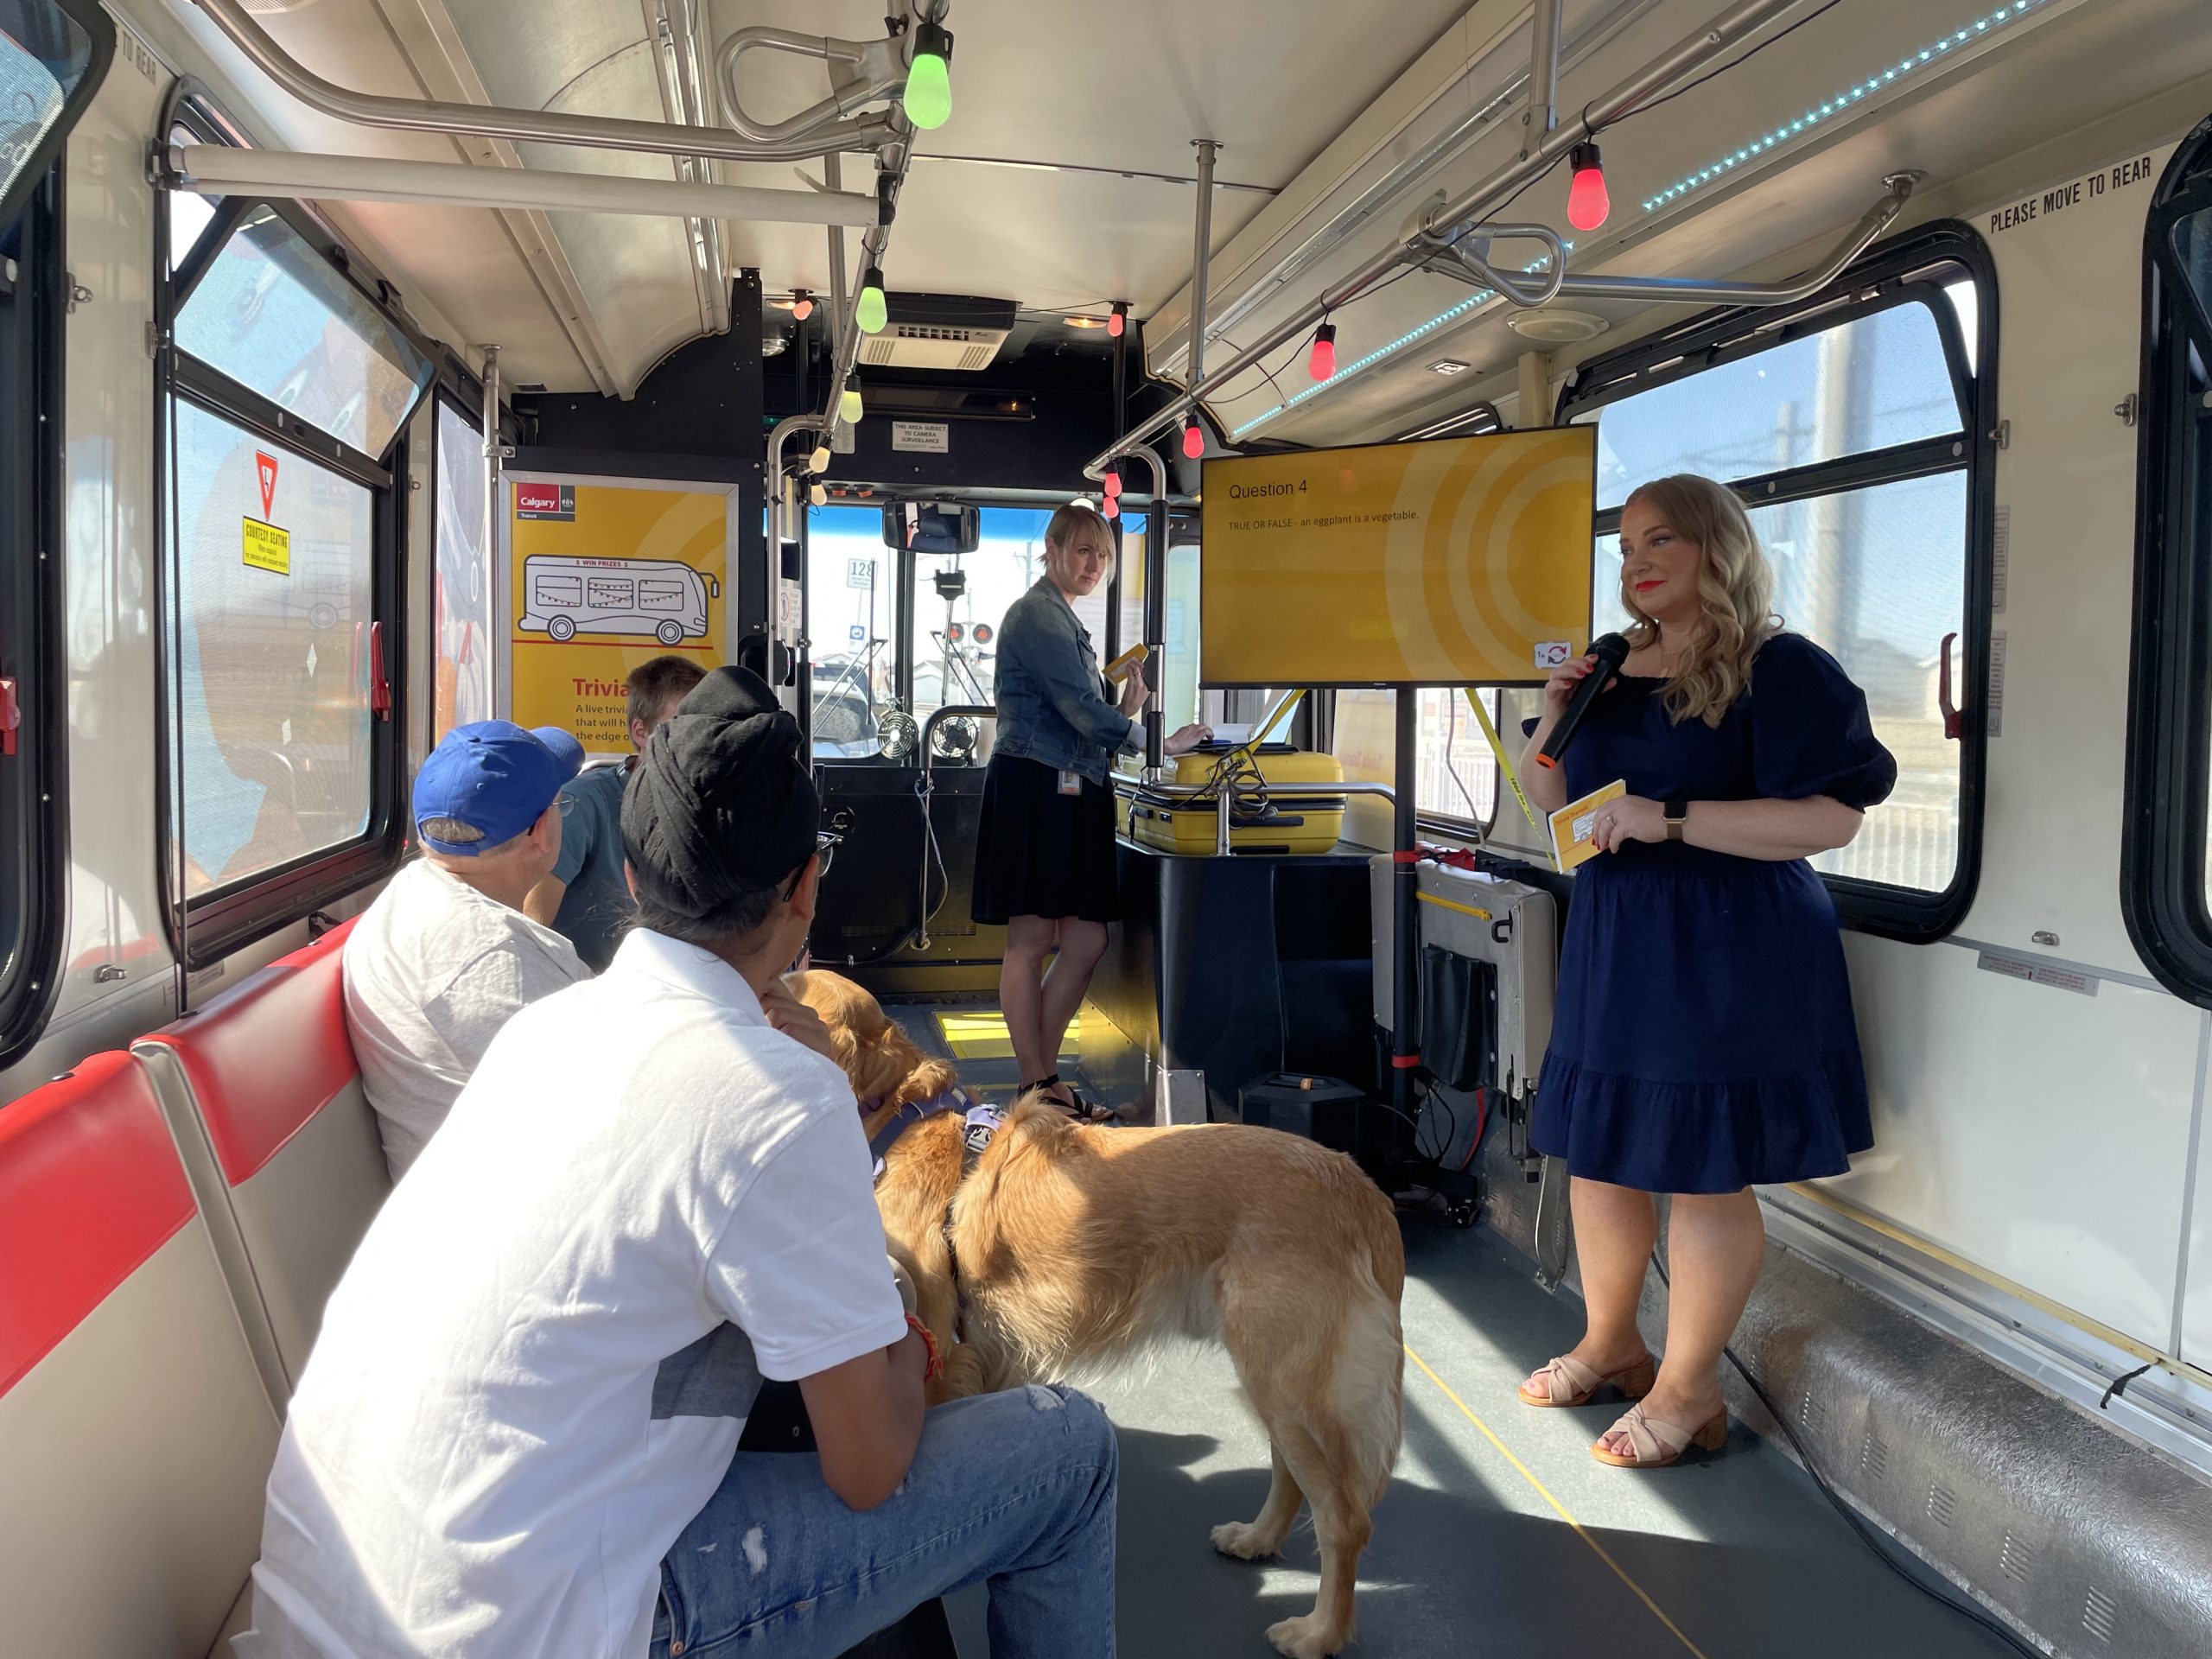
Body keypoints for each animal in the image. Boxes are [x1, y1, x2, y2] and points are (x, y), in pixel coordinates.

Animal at [796, 969, 1407, 1654]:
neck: (898, 1117)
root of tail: (1363, 1193)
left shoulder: (931, 1359)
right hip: (1274, 1381)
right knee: (1291, 1475)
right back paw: (1256, 1540)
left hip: (1290, 1382)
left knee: (1345, 1520)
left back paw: (1319, 1632)